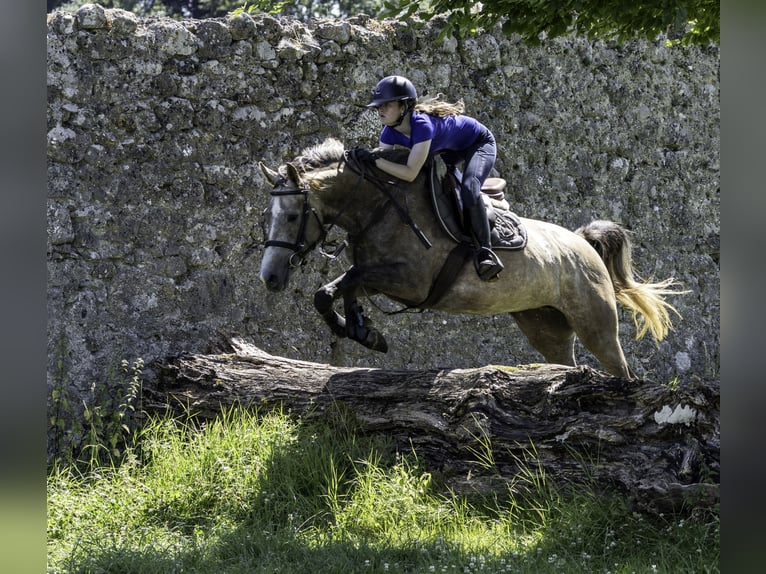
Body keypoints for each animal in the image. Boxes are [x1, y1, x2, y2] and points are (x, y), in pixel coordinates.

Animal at [258, 138, 684, 379]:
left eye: (293, 216)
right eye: (269, 215)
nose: (270, 279)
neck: (381, 206)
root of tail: (582, 243)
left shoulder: (411, 283)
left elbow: (350, 279)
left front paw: (363, 329)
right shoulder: (383, 277)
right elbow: (331, 289)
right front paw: (360, 329)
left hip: (595, 323)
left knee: (620, 368)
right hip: (544, 325)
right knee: (564, 361)